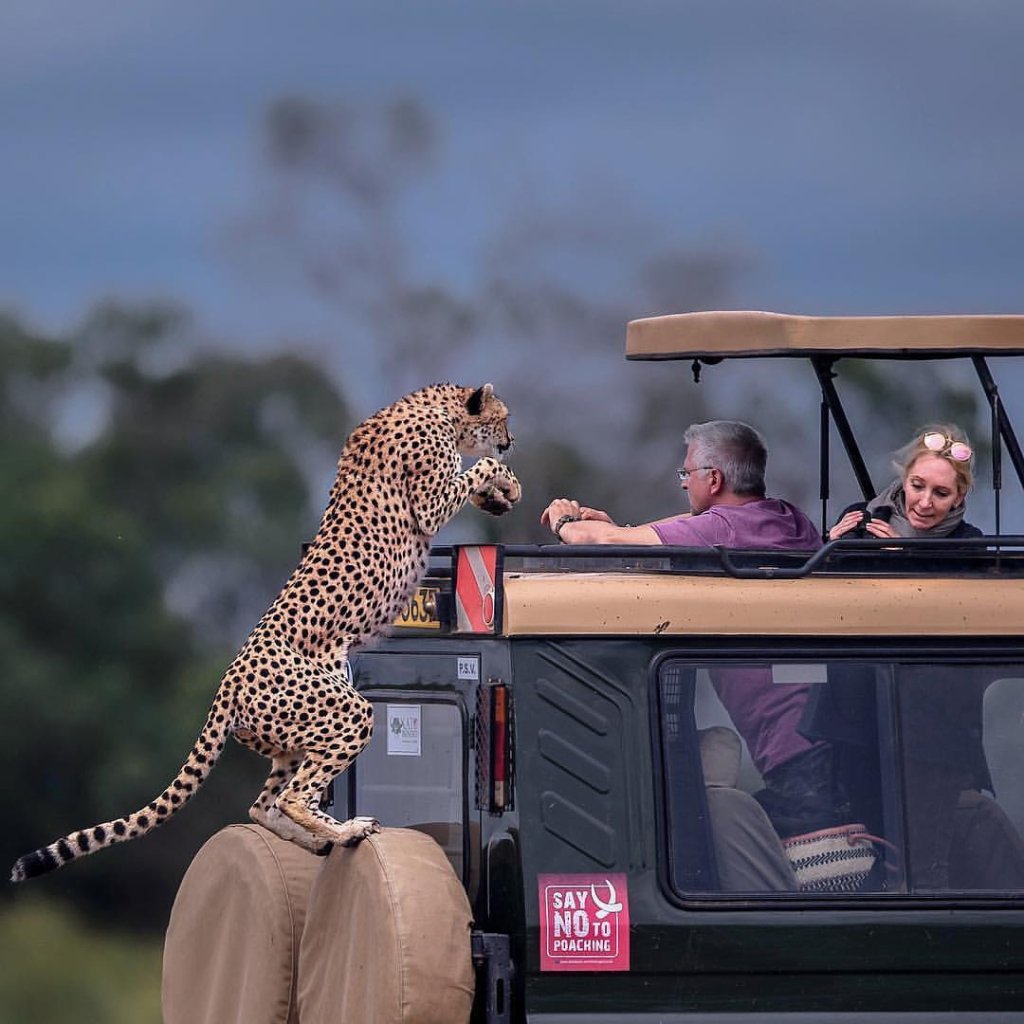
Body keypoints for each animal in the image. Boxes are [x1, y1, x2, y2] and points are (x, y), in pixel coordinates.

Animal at [9, 385, 520, 880]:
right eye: (504, 418)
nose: (512, 440)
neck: (438, 408)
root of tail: (227, 683)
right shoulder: (430, 504)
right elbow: (476, 469)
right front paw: (502, 477)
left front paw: (502, 492)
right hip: (347, 710)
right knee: (292, 797)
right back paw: (346, 830)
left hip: (296, 735)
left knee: (264, 805)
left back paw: (323, 839)